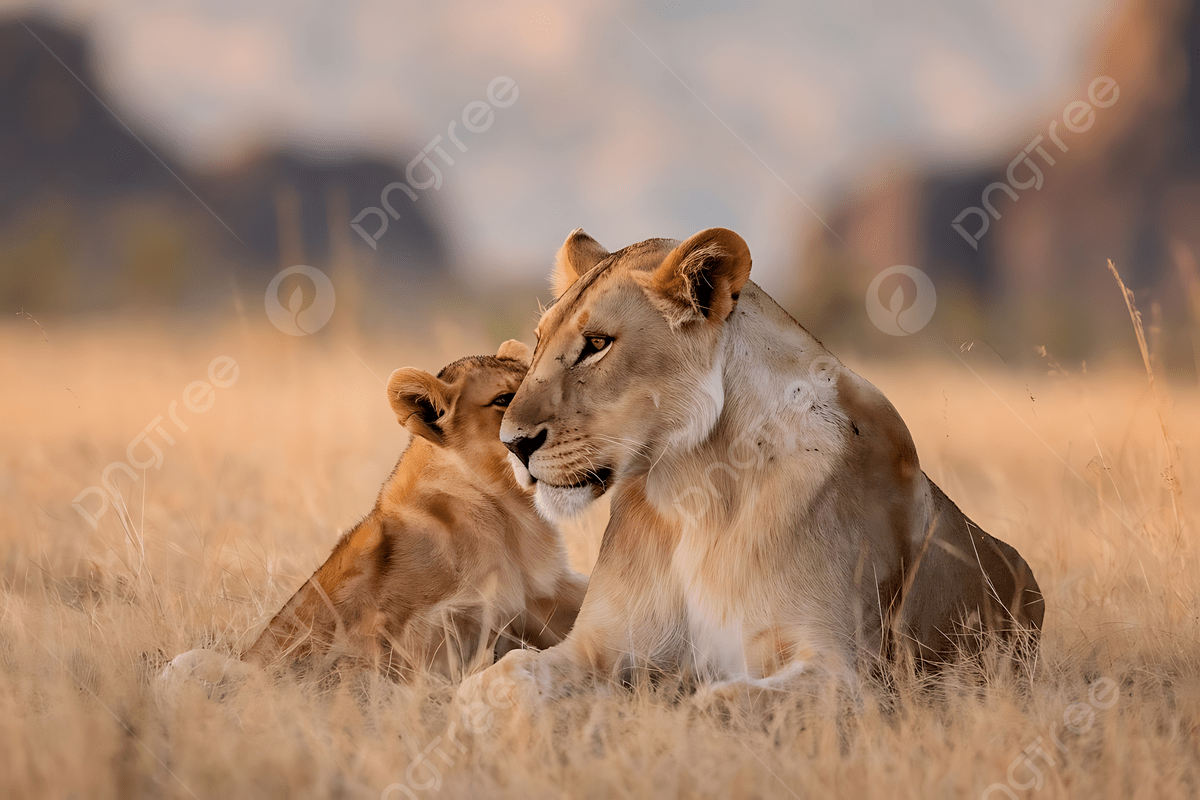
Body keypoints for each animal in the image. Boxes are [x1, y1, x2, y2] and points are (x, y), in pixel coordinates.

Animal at [464, 228, 1043, 703]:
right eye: (538, 343)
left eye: (597, 345)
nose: (513, 443)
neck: (691, 487)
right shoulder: (599, 645)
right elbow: (495, 680)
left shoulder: (844, 674)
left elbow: (716, 705)